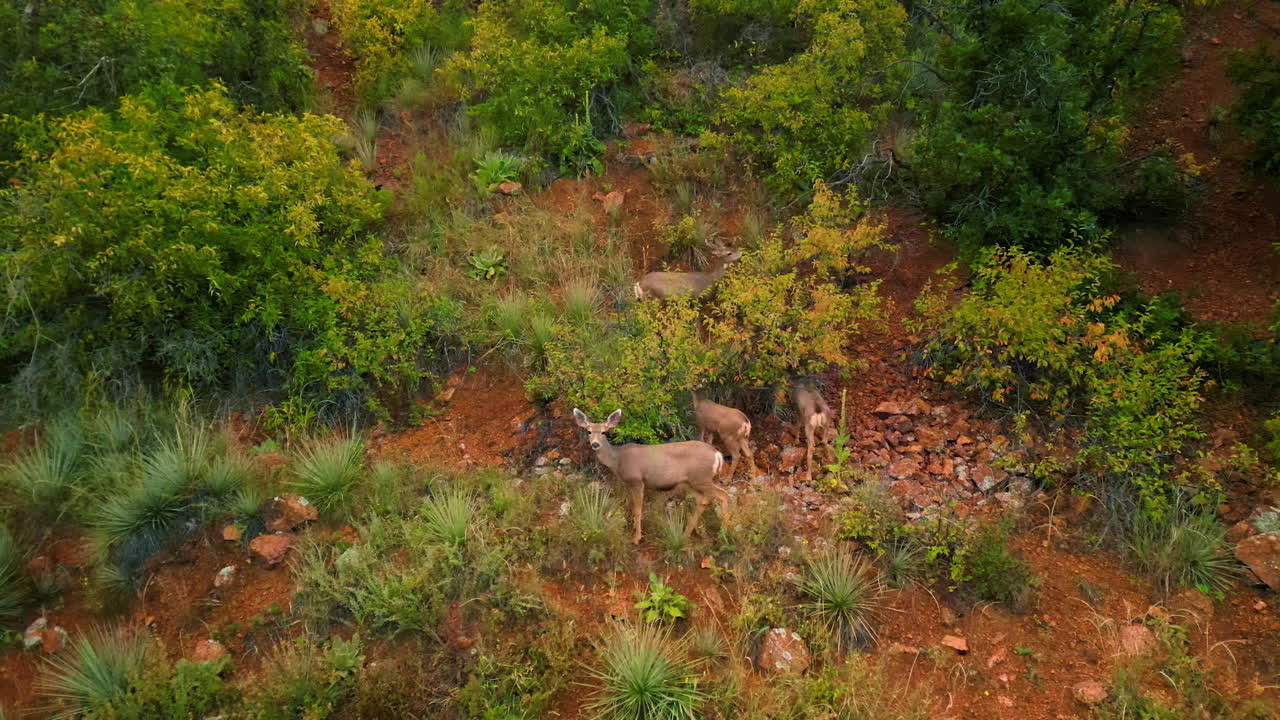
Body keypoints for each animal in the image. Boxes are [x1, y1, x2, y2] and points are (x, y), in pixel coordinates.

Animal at [573, 408, 730, 545]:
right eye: (589, 431)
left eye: (604, 432)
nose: (595, 444)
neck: (618, 460)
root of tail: (717, 454)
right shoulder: (627, 484)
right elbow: (629, 505)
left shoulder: (637, 480)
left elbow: (637, 509)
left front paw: (636, 538)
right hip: (694, 482)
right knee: (703, 501)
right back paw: (686, 535)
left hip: (701, 478)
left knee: (723, 495)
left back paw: (723, 533)